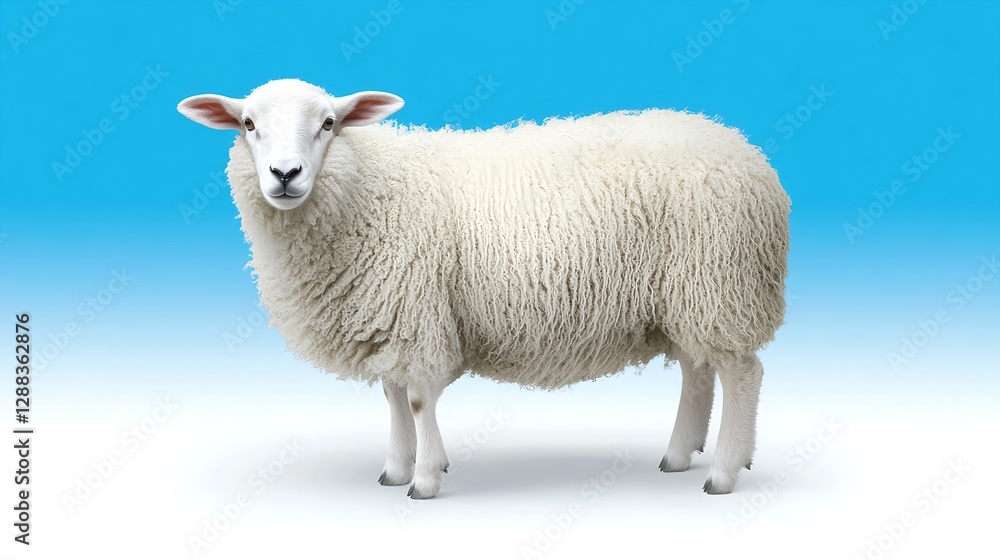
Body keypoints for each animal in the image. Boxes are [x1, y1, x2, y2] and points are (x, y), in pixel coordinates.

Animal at [177, 78, 790, 499]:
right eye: (248, 124)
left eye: (329, 122)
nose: (285, 175)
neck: (369, 187)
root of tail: (748, 153)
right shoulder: (389, 317)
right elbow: (393, 398)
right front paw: (396, 468)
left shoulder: (415, 311)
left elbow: (417, 399)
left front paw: (424, 480)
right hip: (686, 297)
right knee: (697, 370)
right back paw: (679, 455)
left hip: (718, 284)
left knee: (742, 374)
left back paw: (723, 472)